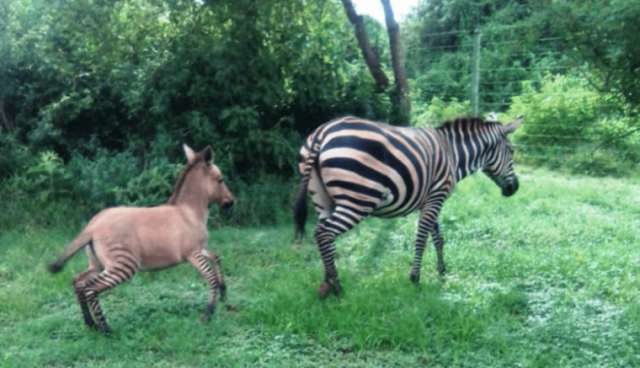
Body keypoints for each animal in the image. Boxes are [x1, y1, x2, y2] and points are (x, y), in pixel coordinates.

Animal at [47, 144, 234, 334]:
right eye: (221, 180)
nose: (231, 202)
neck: (188, 212)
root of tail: (92, 227)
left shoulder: (199, 249)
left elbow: (216, 257)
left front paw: (223, 291)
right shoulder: (192, 253)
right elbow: (210, 277)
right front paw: (208, 313)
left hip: (98, 264)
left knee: (78, 281)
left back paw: (89, 323)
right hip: (123, 265)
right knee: (90, 288)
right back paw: (106, 330)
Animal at [292, 115, 524, 300]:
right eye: (512, 151)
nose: (515, 188)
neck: (453, 154)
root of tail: (322, 132)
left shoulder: (431, 199)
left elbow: (438, 238)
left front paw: (442, 273)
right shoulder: (436, 197)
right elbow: (421, 239)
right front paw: (415, 279)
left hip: (323, 200)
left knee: (325, 238)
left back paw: (327, 284)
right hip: (358, 199)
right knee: (323, 233)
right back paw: (338, 288)